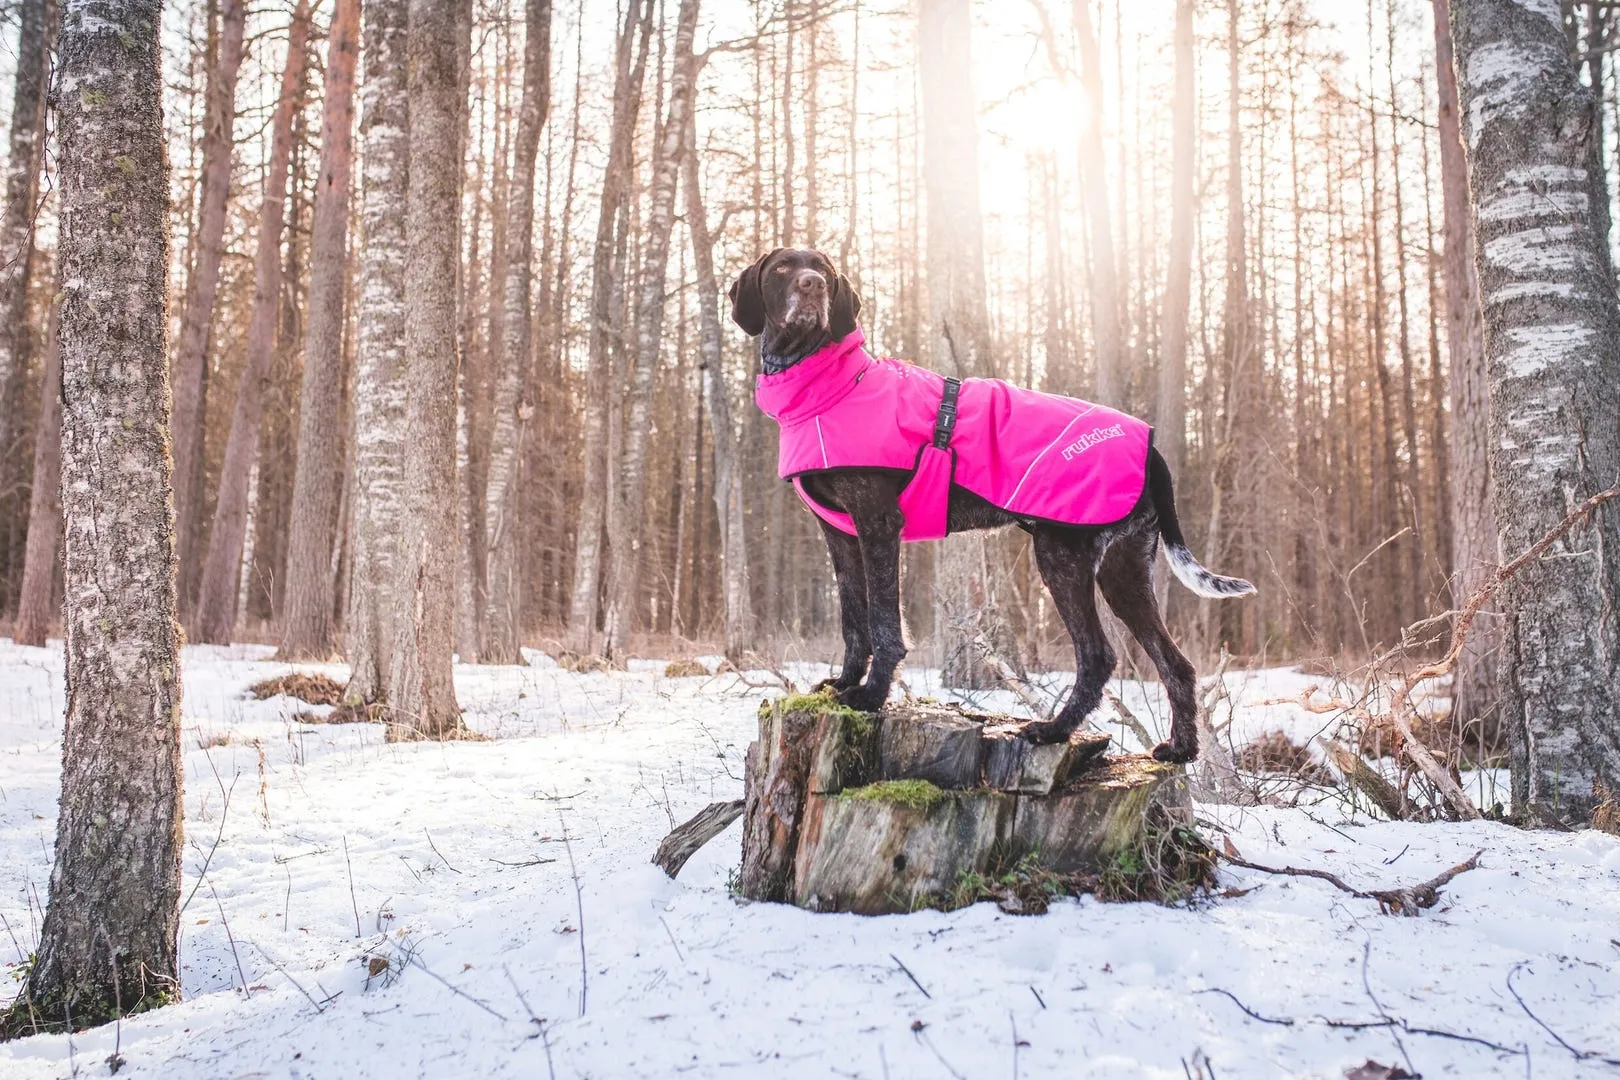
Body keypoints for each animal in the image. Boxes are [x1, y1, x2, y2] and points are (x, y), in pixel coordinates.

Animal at [735, 249, 1250, 764]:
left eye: (822, 269)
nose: (813, 285)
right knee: (1176, 663)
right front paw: (843, 683)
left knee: (1098, 655)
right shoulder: (840, 535)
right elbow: (853, 620)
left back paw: (1055, 729)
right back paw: (1180, 748)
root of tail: (1151, 448)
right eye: (782, 268)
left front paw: (872, 696)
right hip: (1124, 571)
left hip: (1062, 556)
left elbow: (883, 624)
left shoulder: (878, 523)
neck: (830, 384)